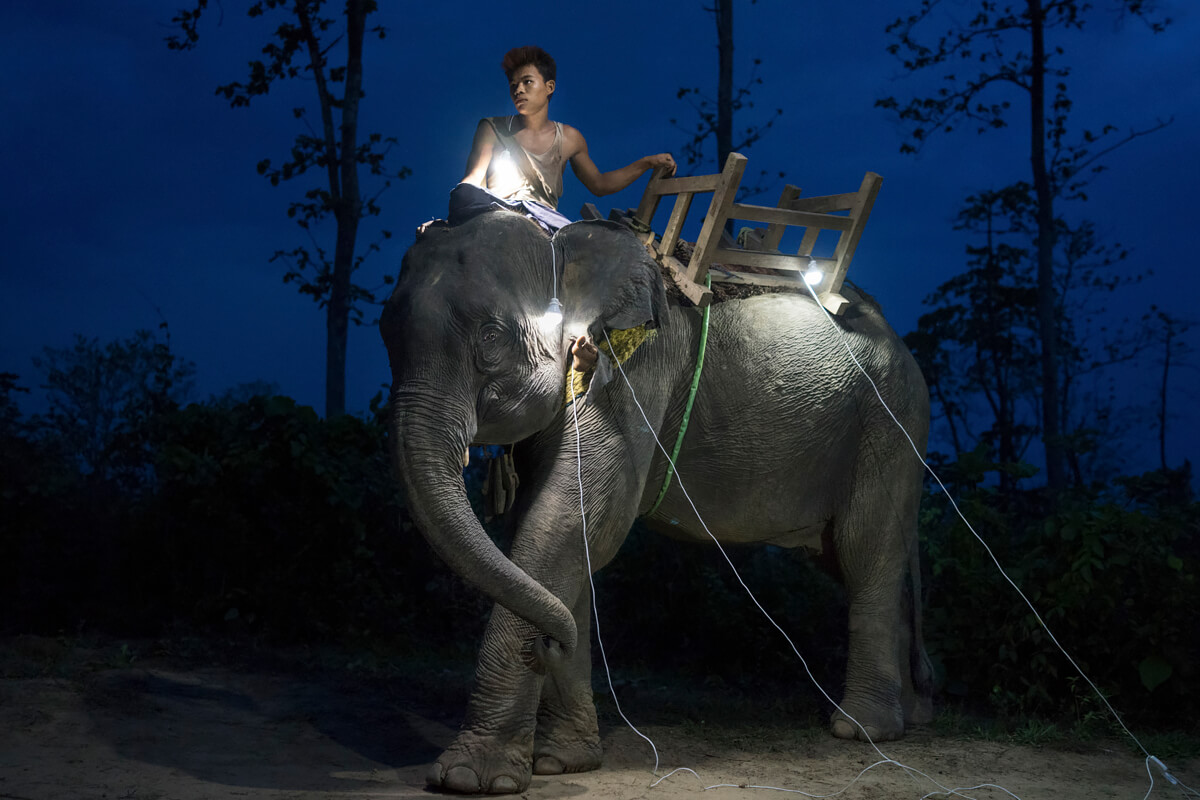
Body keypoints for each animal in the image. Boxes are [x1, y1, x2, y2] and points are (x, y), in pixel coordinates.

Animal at [384, 208, 936, 796]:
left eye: (491, 337)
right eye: (385, 333)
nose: (551, 647)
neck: (568, 248)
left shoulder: (633, 373)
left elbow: (573, 522)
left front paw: (471, 779)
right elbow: (560, 536)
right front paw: (563, 763)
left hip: (891, 424)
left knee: (866, 554)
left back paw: (863, 730)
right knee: (853, 560)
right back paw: (911, 718)